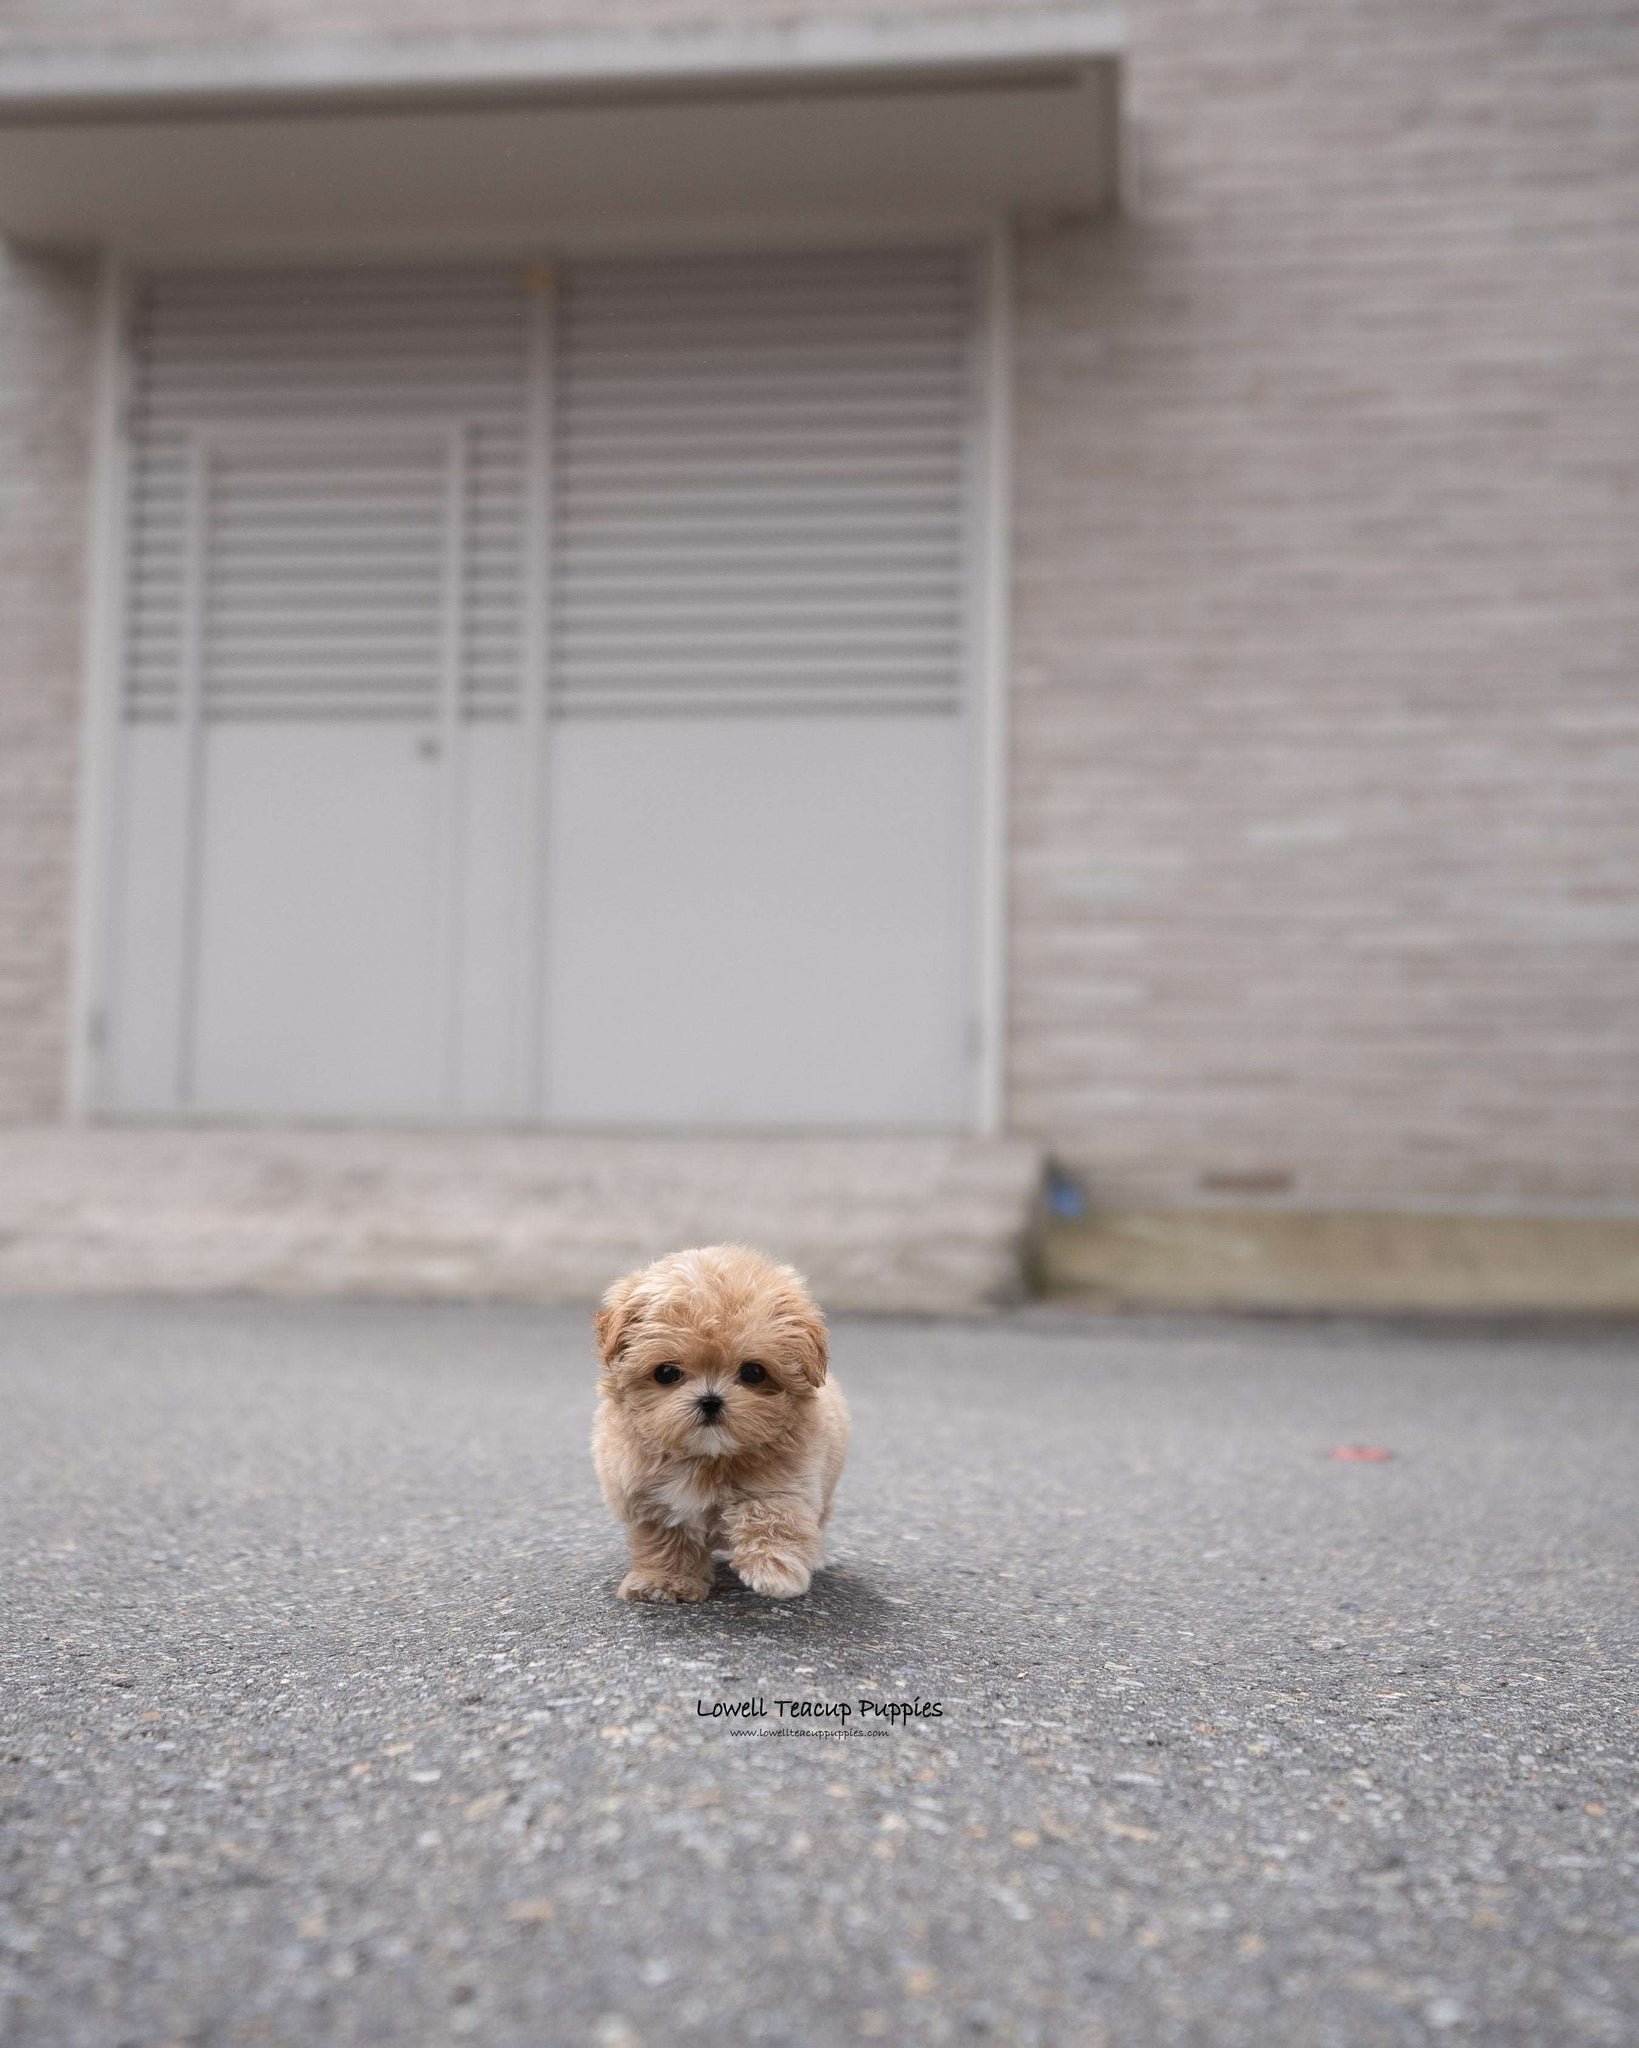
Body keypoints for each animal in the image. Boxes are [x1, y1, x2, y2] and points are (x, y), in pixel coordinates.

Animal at [594, 1245, 852, 1597]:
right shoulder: (651, 1500)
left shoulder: (786, 1485)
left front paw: (773, 1567)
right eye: (666, 1373)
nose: (710, 1400)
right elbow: (665, 1542)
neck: (709, 1458)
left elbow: (770, 1513)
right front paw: (665, 1582)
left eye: (753, 1372)